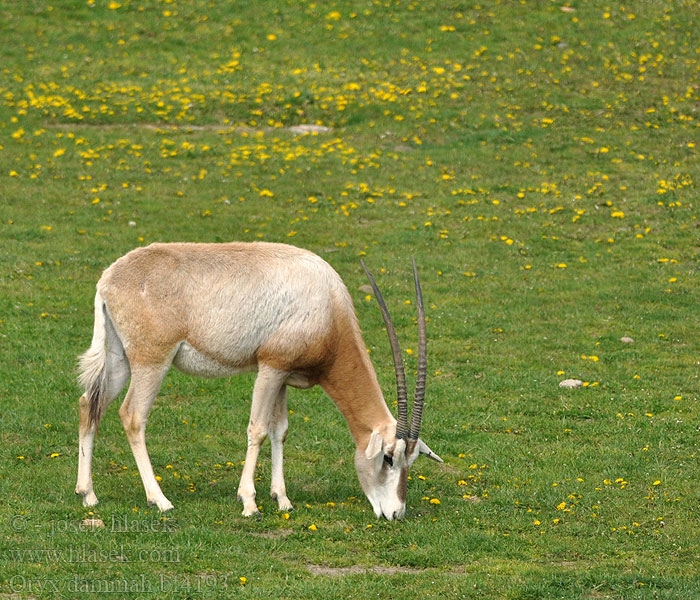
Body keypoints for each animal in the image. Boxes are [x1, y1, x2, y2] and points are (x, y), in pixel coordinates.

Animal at [75, 241, 438, 516]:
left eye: (412, 459)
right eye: (388, 458)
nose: (396, 513)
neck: (328, 306)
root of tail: (109, 278)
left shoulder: (284, 375)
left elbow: (280, 431)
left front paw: (282, 498)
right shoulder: (270, 367)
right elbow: (259, 429)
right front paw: (249, 502)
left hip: (120, 359)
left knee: (89, 404)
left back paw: (88, 494)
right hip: (152, 361)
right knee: (132, 416)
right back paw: (160, 500)